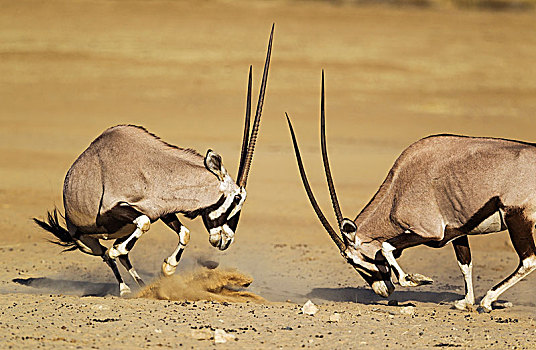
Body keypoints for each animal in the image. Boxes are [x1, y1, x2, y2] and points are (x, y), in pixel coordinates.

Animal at [33, 24, 274, 296]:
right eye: (235, 199)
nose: (226, 240)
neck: (154, 169)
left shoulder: (163, 211)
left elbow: (183, 233)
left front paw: (167, 269)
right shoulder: (118, 209)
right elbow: (138, 229)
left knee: (122, 255)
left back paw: (141, 286)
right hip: (86, 239)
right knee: (106, 254)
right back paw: (125, 289)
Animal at [286, 71, 536, 312]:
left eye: (353, 260)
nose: (383, 291)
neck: (399, 189)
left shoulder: (429, 232)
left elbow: (386, 247)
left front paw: (417, 279)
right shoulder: (457, 230)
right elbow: (465, 263)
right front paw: (465, 302)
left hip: (517, 218)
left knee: (529, 260)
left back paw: (488, 301)